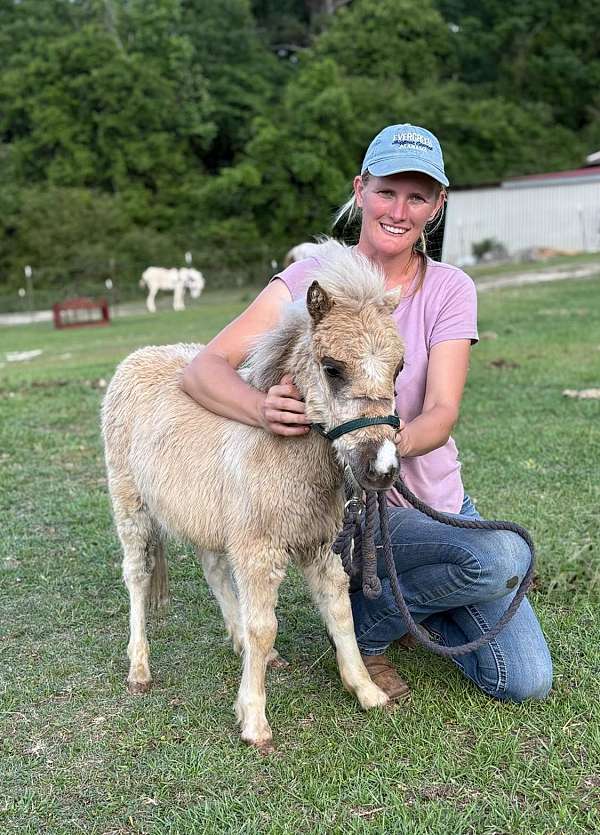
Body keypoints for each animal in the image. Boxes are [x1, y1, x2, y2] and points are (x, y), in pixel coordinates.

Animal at [103, 240, 404, 750]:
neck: (282, 455)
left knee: (213, 569)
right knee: (137, 577)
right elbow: (265, 625)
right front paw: (254, 721)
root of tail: (136, 358)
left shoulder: (319, 546)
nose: (381, 469)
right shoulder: (259, 551)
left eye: (400, 368)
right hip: (132, 509)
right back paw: (139, 669)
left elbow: (340, 612)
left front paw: (367, 692)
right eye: (332, 368)